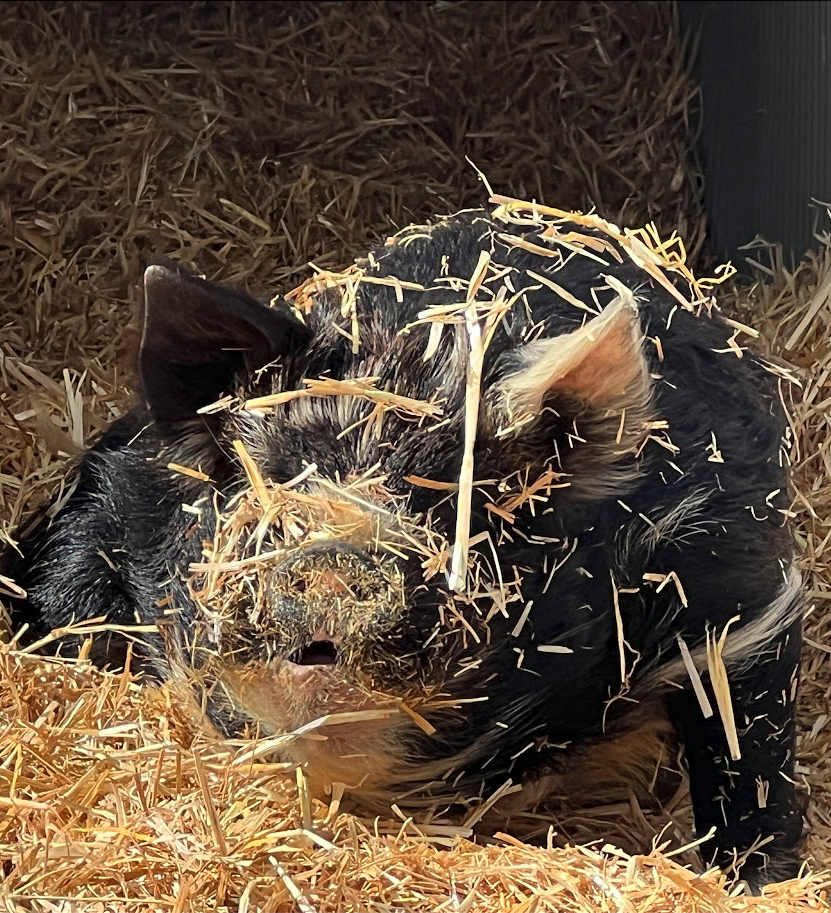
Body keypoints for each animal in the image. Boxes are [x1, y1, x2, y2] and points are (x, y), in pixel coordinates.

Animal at [2, 200, 806, 890]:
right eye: (273, 480)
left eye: (449, 503)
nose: (328, 558)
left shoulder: (735, 594)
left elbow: (747, 748)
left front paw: (760, 881)